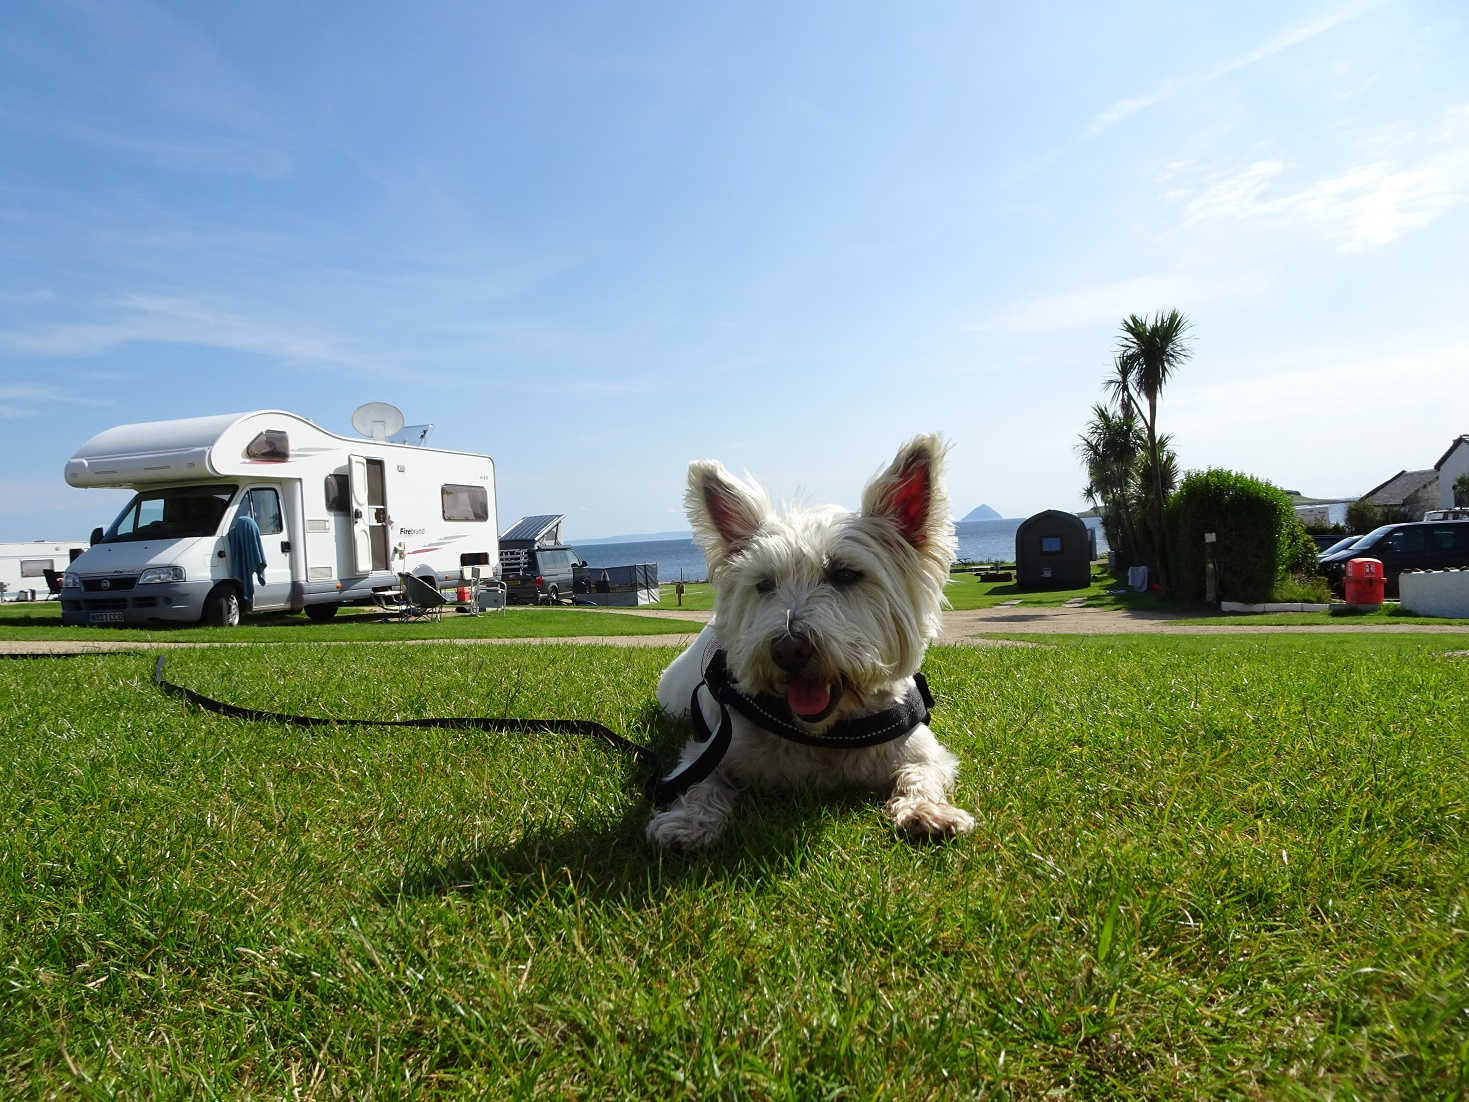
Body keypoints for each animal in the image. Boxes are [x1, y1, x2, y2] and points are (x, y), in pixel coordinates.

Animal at [646, 434, 975, 852]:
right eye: (764, 583)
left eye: (846, 574)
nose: (788, 649)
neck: (824, 736)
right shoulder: (709, 750)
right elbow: (702, 783)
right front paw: (686, 823)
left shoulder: (921, 749)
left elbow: (922, 773)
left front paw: (929, 812)